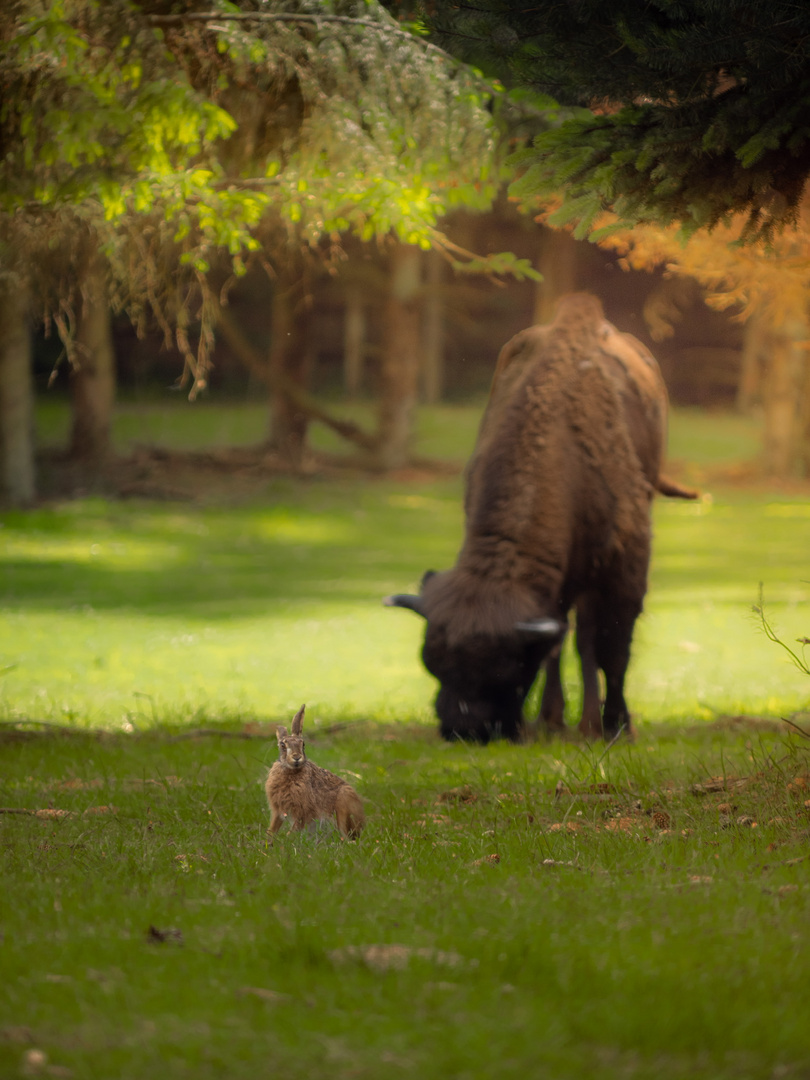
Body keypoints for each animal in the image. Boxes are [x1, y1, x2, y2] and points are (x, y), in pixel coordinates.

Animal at [384, 291, 695, 738]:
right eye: (432, 663)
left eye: (504, 666)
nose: (464, 728)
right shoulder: (554, 589)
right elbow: (557, 645)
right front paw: (551, 719)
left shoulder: (622, 568)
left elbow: (612, 646)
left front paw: (616, 724)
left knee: (589, 637)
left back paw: (591, 723)